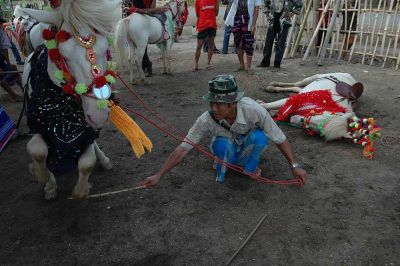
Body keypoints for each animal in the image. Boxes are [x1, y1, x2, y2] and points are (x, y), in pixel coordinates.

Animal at [19, 0, 122, 200]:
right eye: (64, 57)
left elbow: (87, 162)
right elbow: (38, 151)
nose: (98, 114)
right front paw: (44, 179)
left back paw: (103, 159)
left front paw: (80, 191)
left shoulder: (87, 130)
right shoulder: (37, 123)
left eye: (106, 50)